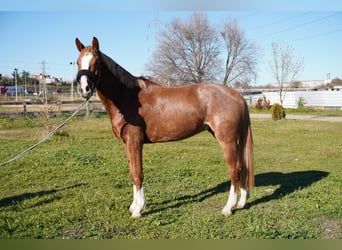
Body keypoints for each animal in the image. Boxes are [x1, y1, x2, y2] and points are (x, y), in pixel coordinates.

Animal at [75, 37, 254, 219]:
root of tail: (238, 95)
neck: (127, 97)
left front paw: (138, 210)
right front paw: (134, 206)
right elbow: (132, 172)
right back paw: (241, 203)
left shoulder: (134, 142)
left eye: (97, 61)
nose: (84, 89)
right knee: (243, 167)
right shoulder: (127, 143)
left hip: (227, 141)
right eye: (77, 62)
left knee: (235, 170)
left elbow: (138, 174)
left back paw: (228, 208)